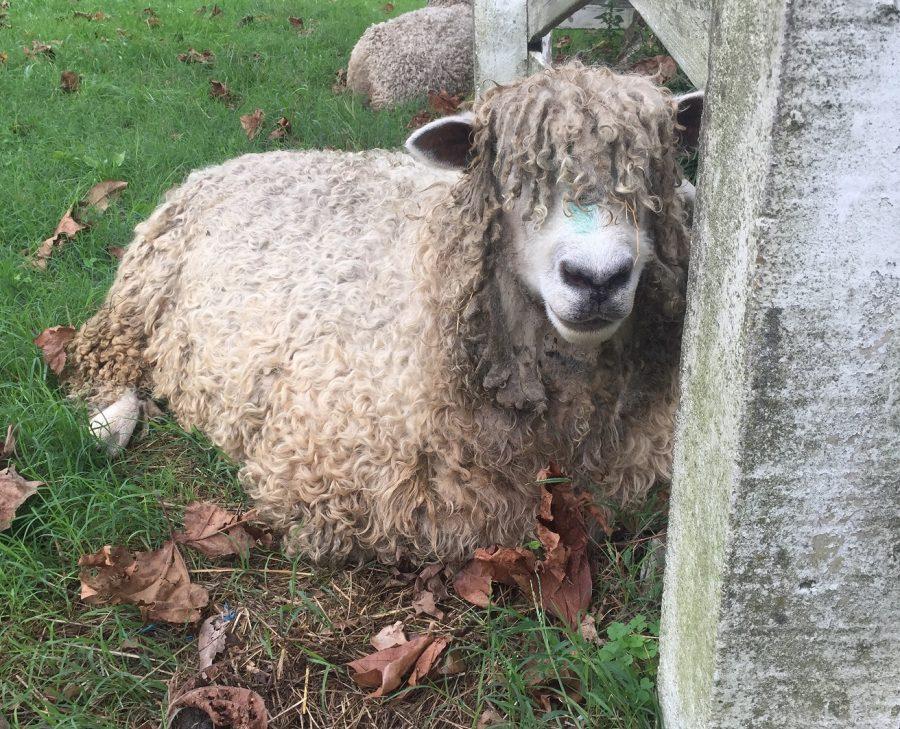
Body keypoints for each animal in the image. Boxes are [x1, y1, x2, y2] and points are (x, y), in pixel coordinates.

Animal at [70, 67, 704, 564]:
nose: (597, 278)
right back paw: (109, 425)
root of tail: (218, 166)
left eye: (655, 177)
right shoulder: (340, 463)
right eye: (514, 179)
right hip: (141, 295)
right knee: (96, 357)